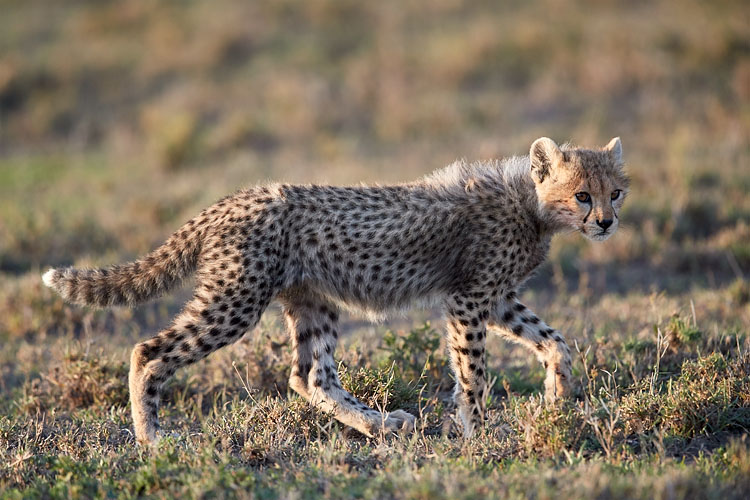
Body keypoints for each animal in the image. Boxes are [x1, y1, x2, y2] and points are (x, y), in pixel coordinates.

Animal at [43, 136, 629, 445]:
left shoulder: (497, 297)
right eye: (582, 195)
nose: (605, 223)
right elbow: (473, 373)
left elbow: (555, 340)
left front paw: (557, 397)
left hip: (311, 300)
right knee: (149, 351)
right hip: (236, 299)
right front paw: (479, 432)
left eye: (616, 193)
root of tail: (236, 197)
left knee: (310, 376)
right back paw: (153, 439)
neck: (531, 205)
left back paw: (382, 424)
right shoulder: (468, 299)